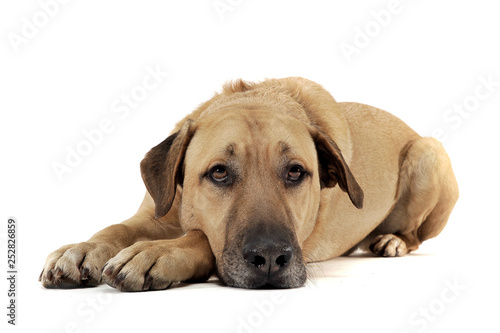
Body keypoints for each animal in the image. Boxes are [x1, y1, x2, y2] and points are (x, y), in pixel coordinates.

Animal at [40, 76, 458, 290]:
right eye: (219, 172)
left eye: (296, 172)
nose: (271, 259)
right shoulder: (157, 212)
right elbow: (117, 227)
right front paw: (82, 249)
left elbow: (202, 239)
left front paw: (158, 253)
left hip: (429, 154)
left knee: (414, 233)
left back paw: (393, 240)